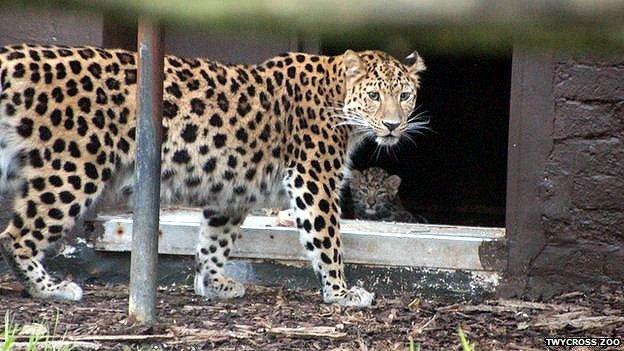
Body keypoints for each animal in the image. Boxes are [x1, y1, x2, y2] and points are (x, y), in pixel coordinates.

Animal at [0, 44, 426, 306]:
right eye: (374, 96)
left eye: (405, 96)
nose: (393, 125)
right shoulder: (313, 178)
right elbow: (328, 240)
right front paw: (342, 293)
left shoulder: (233, 190)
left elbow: (215, 240)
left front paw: (212, 284)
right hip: (73, 168)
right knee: (15, 235)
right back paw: (49, 289)